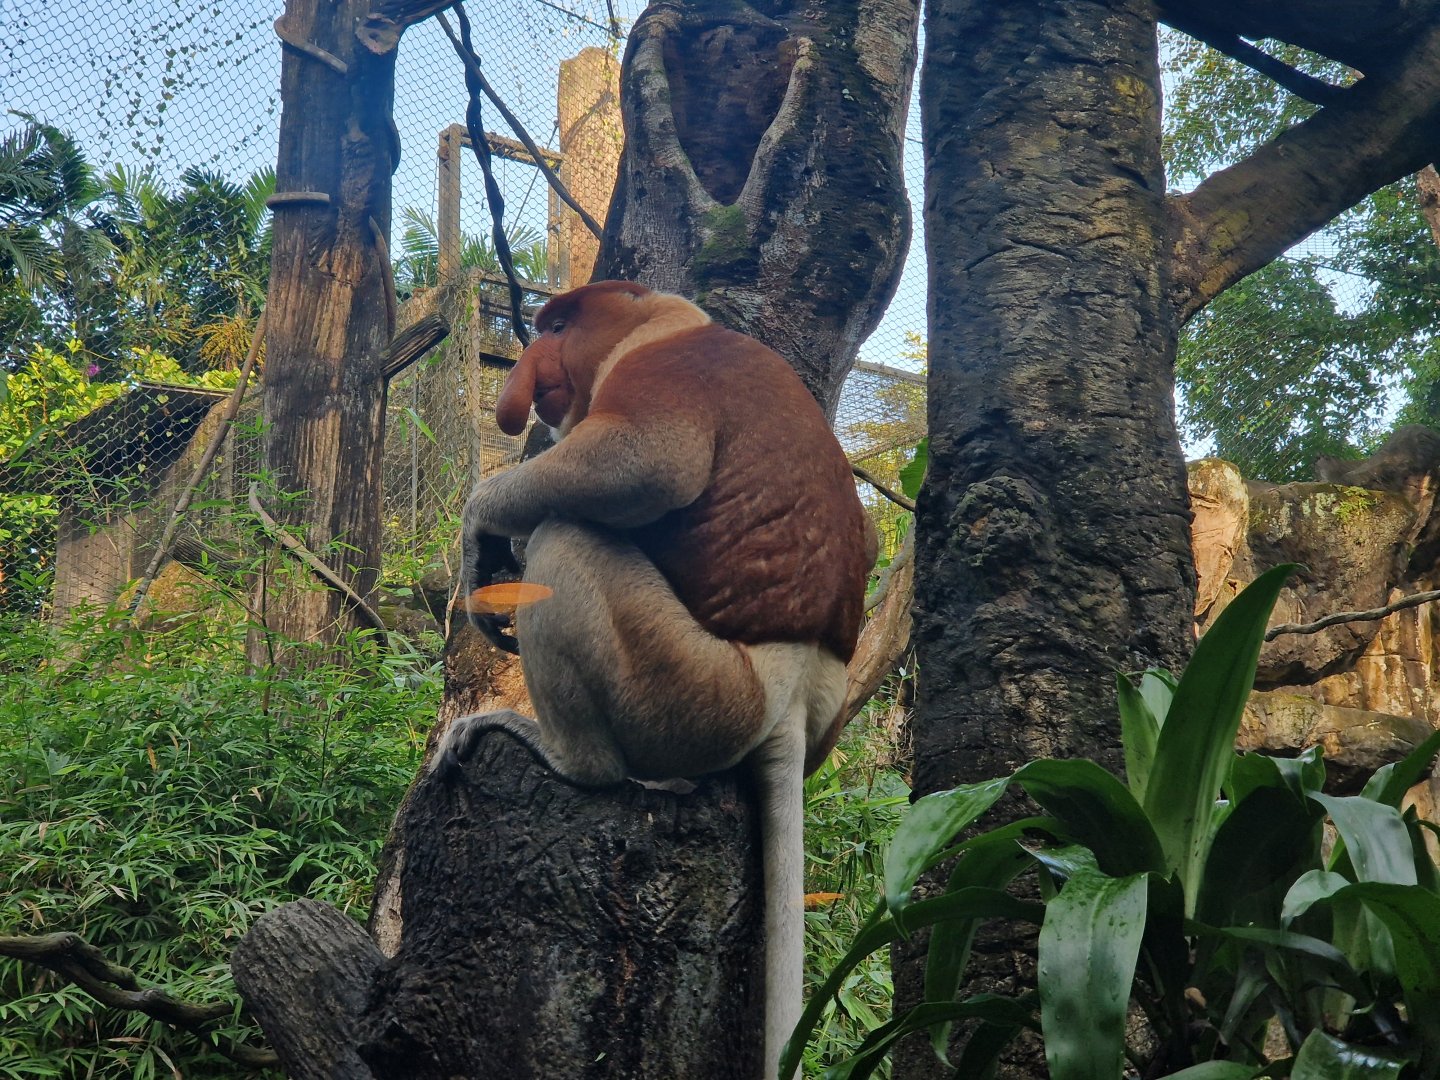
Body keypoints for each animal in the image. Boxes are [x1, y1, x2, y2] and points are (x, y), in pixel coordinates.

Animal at [432, 280, 875, 1080]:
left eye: (558, 326)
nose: (525, 389)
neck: (667, 322)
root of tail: (789, 697)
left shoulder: (664, 372)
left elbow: (643, 463)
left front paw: (482, 528)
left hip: (686, 687)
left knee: (572, 537)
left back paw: (562, 752)